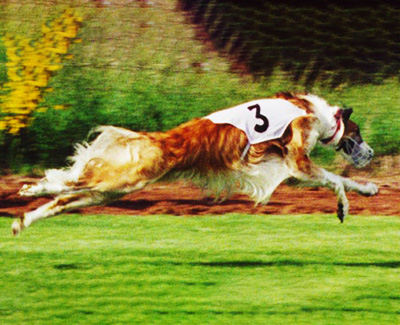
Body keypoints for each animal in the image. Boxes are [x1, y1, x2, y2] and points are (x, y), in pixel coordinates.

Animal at [12, 92, 380, 234]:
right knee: (68, 183)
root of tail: (157, 140)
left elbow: (342, 180)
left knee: (63, 199)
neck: (315, 112)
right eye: (358, 133)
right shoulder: (297, 162)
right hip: (125, 179)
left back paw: (23, 220)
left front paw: (368, 191)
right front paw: (348, 204)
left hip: (112, 190)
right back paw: (31, 190)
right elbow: (337, 179)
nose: (372, 154)